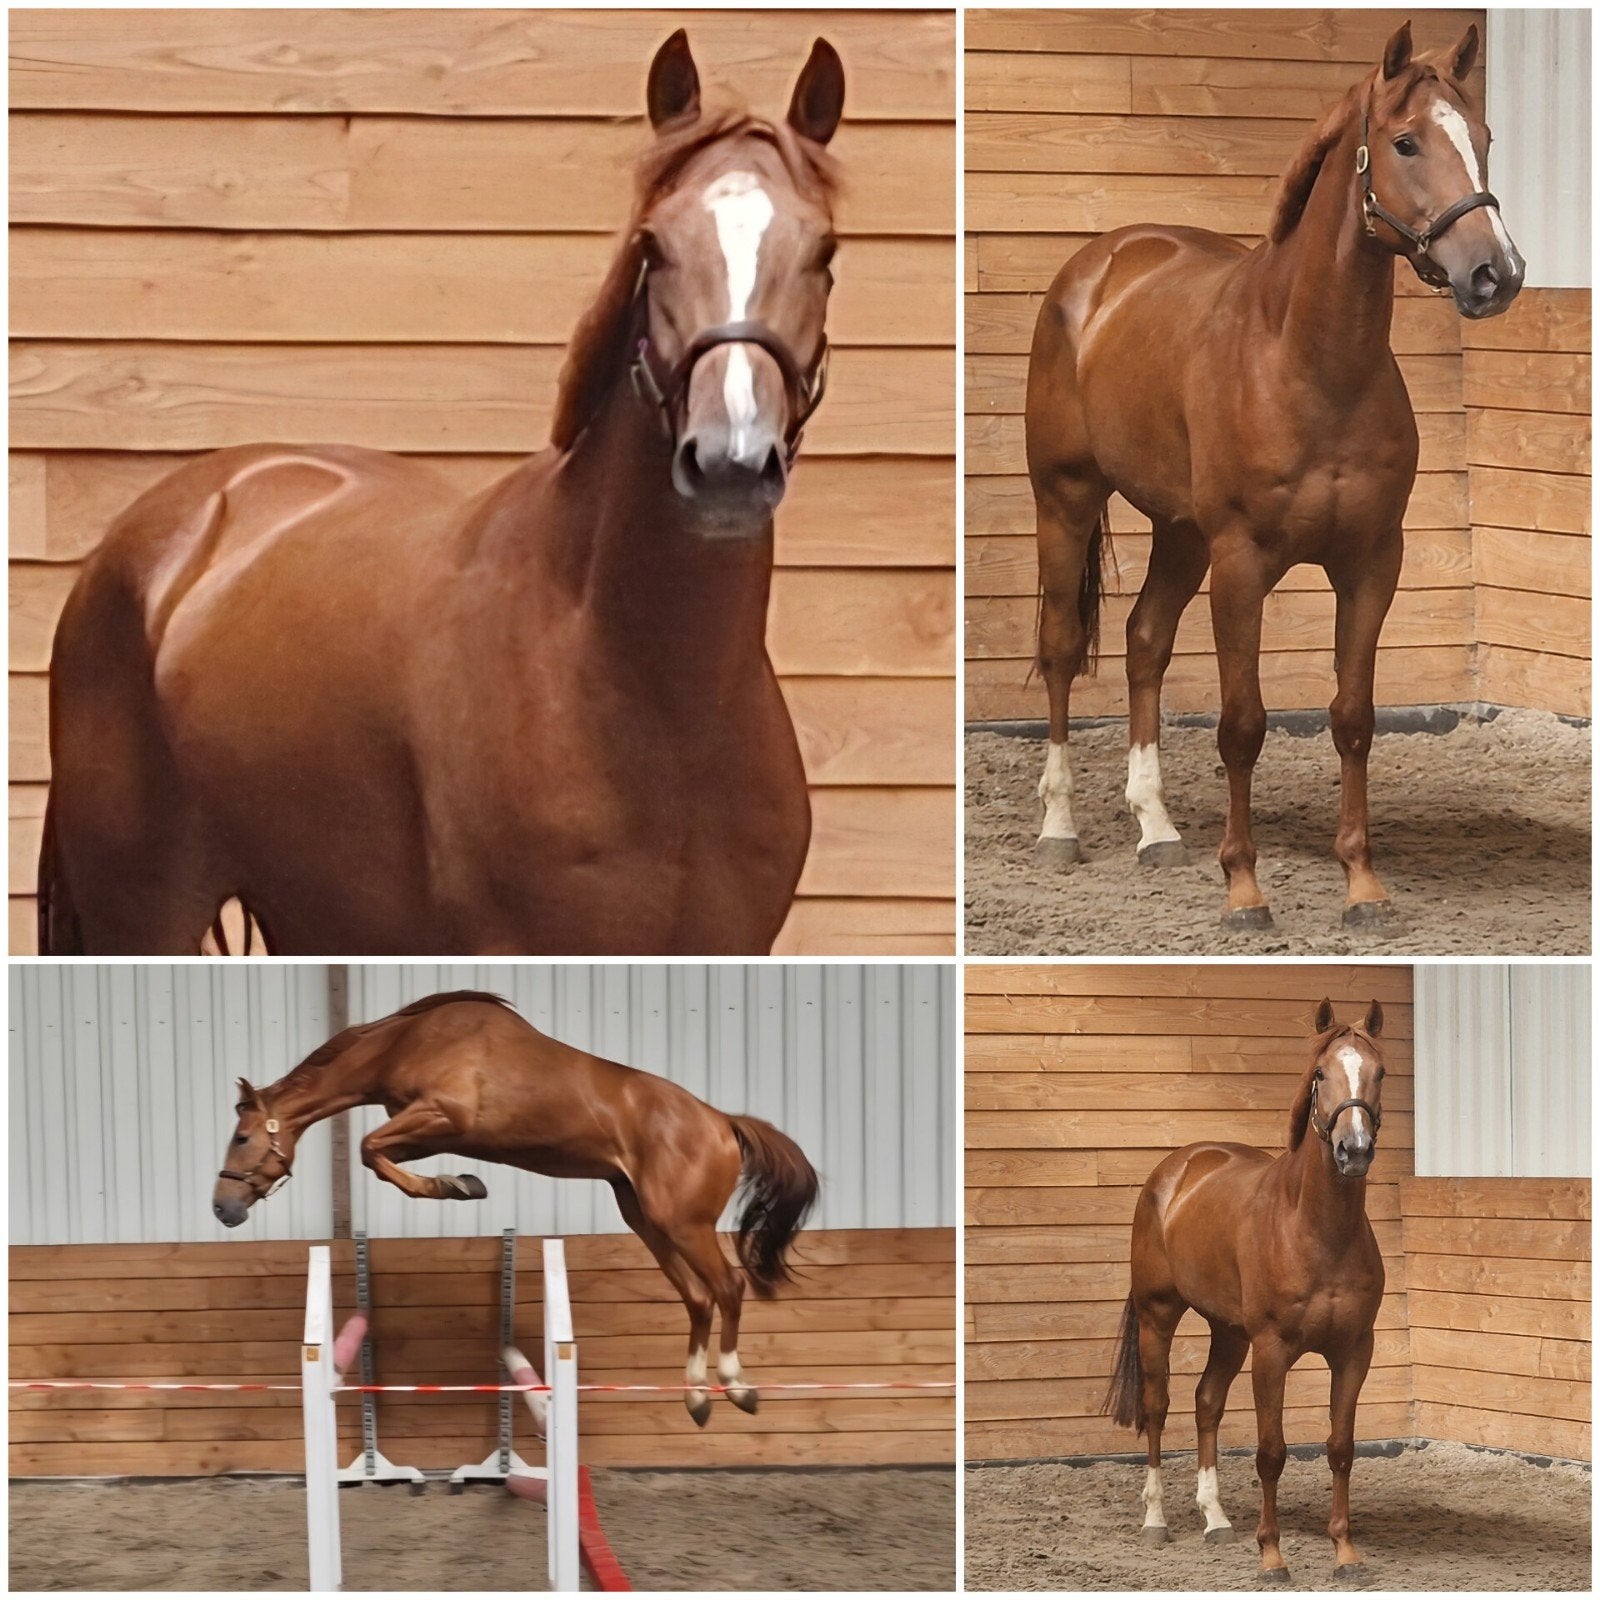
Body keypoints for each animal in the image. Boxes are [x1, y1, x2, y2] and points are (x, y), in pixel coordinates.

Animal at [212, 989, 819, 1427]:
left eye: (241, 1138)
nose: (222, 1207)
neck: (408, 1041)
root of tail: (723, 1122)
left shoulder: (442, 1115)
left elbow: (367, 1150)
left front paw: (458, 1186)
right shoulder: (423, 1131)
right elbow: (380, 1157)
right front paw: (460, 1182)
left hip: (682, 1222)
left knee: (728, 1288)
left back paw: (736, 1386)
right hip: (647, 1219)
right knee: (698, 1298)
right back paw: (696, 1398)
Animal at [1023, 22, 1524, 931]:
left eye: (1484, 137)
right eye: (1405, 142)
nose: (1495, 274)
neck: (1306, 361)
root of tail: (1101, 264)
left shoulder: (1371, 564)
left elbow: (1353, 718)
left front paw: (1362, 885)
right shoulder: (1243, 565)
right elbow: (1243, 725)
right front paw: (1245, 892)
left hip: (1180, 532)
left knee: (1144, 642)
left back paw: (1156, 830)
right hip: (1067, 499)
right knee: (1061, 647)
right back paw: (1060, 829)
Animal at [1104, 999, 1388, 1583]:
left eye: (1381, 1072)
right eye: (1320, 1073)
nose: (1353, 1150)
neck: (1316, 1230)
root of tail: (1178, 1167)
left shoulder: (1354, 1351)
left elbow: (1341, 1448)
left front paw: (1346, 1553)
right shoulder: (1271, 1351)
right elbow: (1271, 1452)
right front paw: (1272, 1558)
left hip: (1228, 1332)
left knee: (1207, 1403)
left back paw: (1215, 1519)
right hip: (1158, 1315)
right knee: (1157, 1406)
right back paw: (1155, 1520)